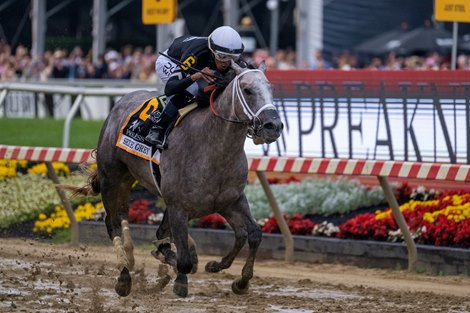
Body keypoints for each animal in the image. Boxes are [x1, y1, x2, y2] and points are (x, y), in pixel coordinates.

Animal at [70, 61, 282, 298]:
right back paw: (124, 277)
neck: (212, 149)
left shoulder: (230, 201)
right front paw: (181, 281)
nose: (274, 126)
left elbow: (251, 234)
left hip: (129, 180)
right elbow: (185, 259)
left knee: (134, 220)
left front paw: (236, 279)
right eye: (247, 90)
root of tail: (121, 103)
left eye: (270, 88)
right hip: (111, 178)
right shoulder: (179, 207)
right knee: (113, 223)